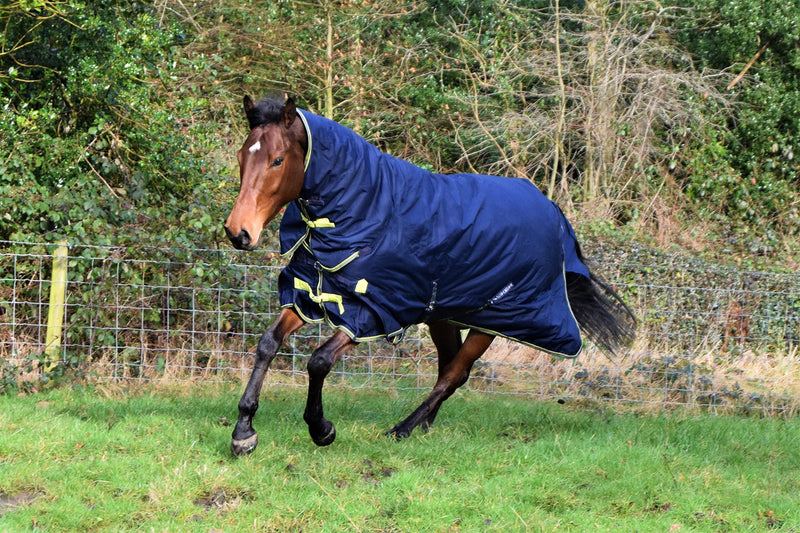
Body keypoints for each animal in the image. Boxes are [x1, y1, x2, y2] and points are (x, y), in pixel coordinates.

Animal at [224, 95, 636, 455]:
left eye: (277, 160)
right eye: (243, 155)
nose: (238, 232)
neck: (364, 209)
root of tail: (554, 212)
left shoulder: (370, 310)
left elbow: (319, 361)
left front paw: (321, 429)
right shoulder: (312, 292)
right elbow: (268, 343)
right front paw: (244, 432)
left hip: (494, 319)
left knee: (455, 374)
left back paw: (402, 429)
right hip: (444, 314)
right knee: (449, 370)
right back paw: (423, 424)